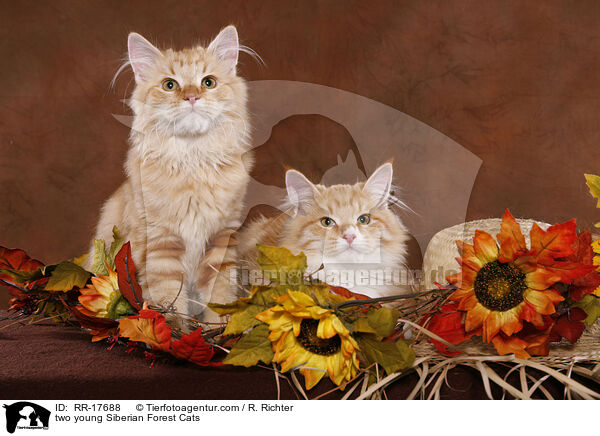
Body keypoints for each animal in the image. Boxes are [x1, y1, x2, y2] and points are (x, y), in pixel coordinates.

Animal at [89, 24, 251, 324]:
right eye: (170, 85)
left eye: (208, 82)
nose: (191, 97)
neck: (193, 160)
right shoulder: (161, 245)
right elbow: (169, 301)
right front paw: (173, 333)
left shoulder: (221, 241)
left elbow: (220, 297)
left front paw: (220, 330)